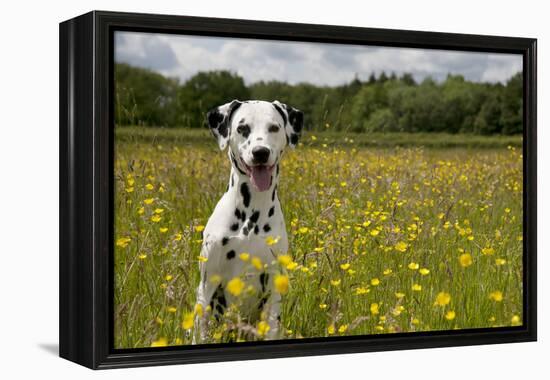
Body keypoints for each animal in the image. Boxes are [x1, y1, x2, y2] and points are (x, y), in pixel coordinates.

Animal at [195, 99, 306, 342]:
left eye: (274, 127)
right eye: (242, 128)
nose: (260, 152)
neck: (250, 216)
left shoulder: (273, 287)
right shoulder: (208, 285)